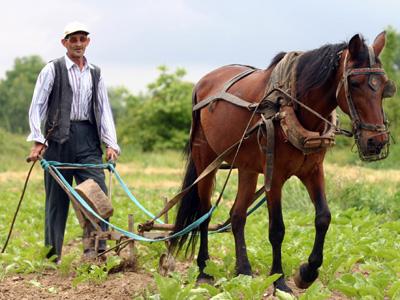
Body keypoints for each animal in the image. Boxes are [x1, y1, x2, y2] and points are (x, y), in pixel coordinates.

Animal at [169, 32, 394, 292]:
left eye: (385, 86)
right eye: (355, 84)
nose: (376, 141)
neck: (292, 105)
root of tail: (202, 83)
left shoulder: (313, 171)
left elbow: (323, 217)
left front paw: (307, 273)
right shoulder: (274, 176)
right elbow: (277, 229)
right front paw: (279, 280)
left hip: (247, 167)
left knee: (237, 215)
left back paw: (243, 270)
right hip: (205, 161)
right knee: (204, 216)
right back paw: (204, 270)